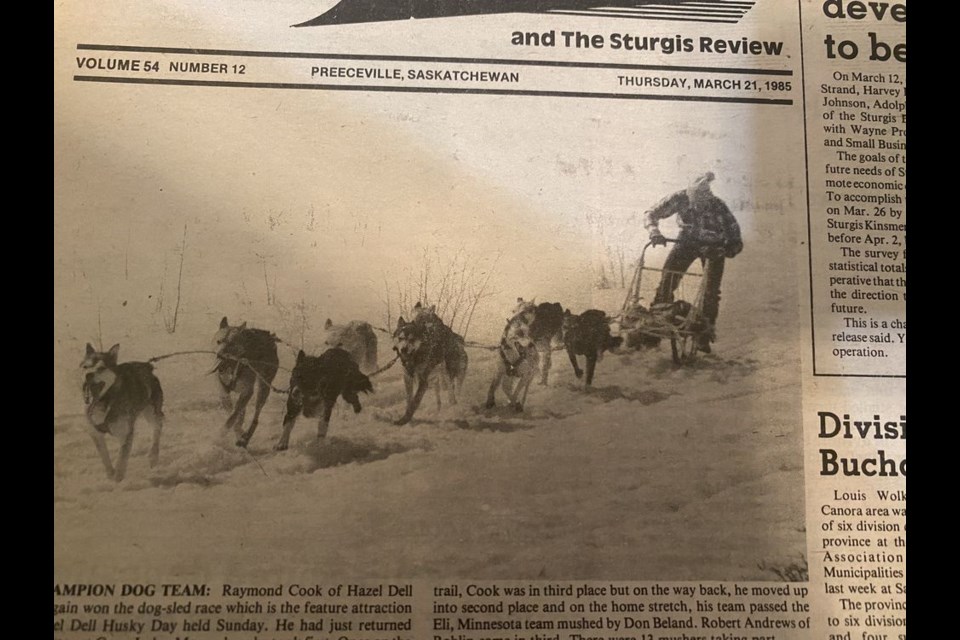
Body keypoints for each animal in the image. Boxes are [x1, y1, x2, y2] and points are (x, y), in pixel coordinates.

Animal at [79, 344, 164, 480]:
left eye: (101, 368)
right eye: (85, 367)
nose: (88, 374)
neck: (104, 402)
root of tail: (147, 367)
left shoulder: (125, 433)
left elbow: (121, 459)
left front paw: (118, 477)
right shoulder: (95, 433)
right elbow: (104, 457)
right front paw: (110, 473)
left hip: (152, 413)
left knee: (157, 429)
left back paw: (153, 455)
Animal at [213, 318, 278, 448]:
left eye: (231, 344)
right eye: (218, 341)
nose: (219, 356)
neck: (232, 366)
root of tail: (269, 336)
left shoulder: (247, 391)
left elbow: (233, 415)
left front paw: (221, 435)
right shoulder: (223, 391)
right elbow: (234, 415)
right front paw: (238, 431)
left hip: (263, 388)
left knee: (255, 416)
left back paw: (247, 436)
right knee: (242, 411)